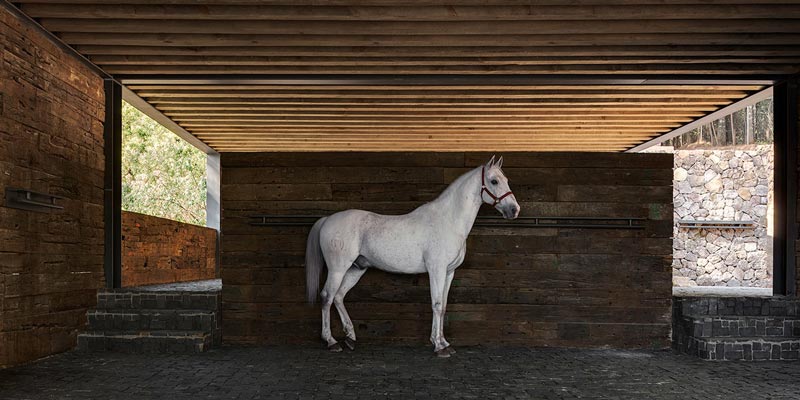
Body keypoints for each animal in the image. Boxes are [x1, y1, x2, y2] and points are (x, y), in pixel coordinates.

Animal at [304, 155, 520, 356]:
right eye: (494, 181)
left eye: (506, 179)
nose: (514, 210)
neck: (448, 220)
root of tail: (327, 219)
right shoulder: (436, 270)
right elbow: (436, 304)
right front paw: (439, 347)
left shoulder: (449, 272)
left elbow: (443, 306)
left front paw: (444, 343)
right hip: (337, 269)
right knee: (327, 297)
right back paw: (331, 342)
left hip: (357, 268)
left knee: (339, 297)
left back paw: (350, 338)